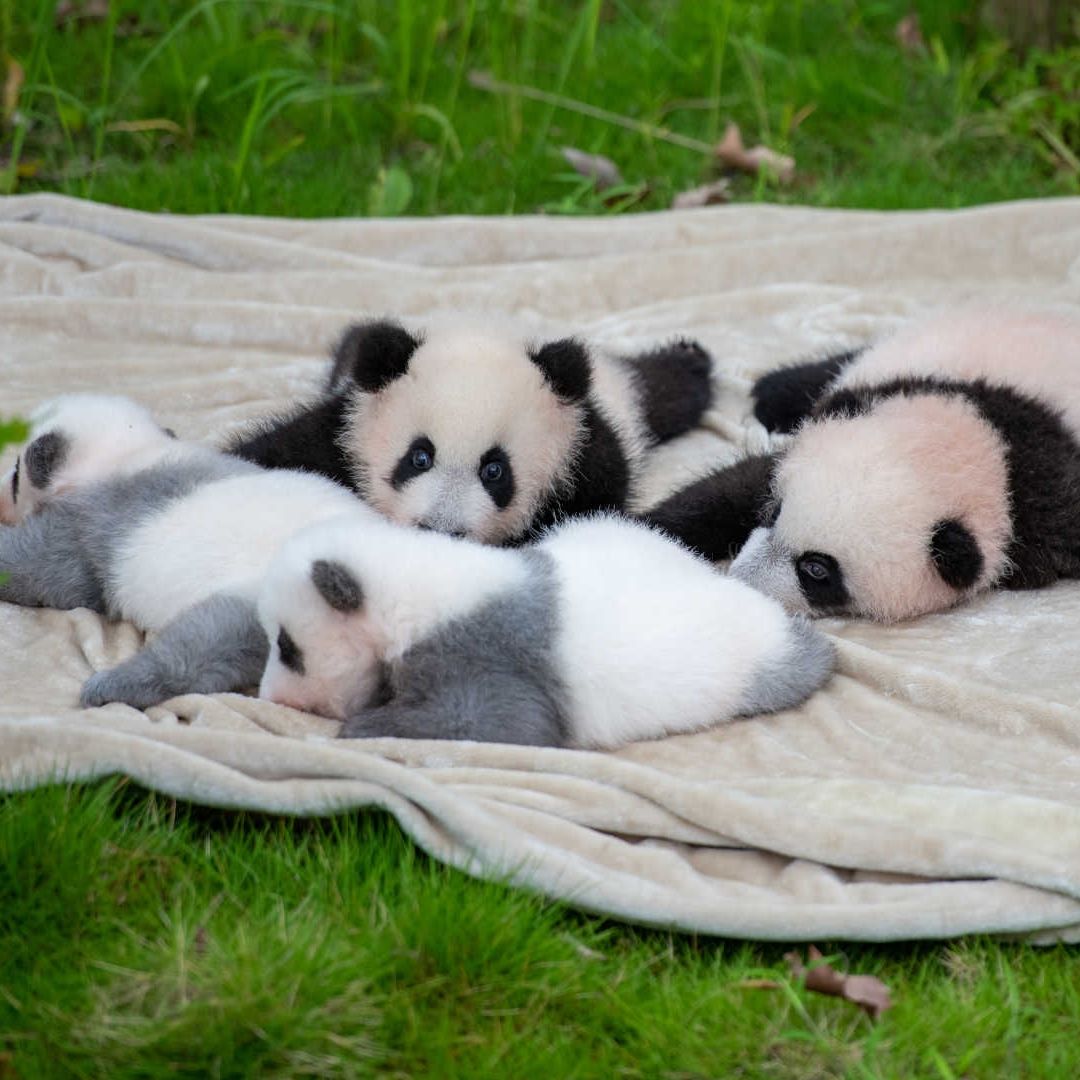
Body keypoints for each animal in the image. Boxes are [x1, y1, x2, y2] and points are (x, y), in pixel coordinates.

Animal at [0, 394, 370, 708]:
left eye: (16, 473)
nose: (1, 497)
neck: (132, 453)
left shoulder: (90, 521)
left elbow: (41, 568)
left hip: (274, 601)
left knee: (199, 648)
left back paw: (114, 685)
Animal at [227, 316, 714, 544]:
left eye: (494, 471)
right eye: (419, 457)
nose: (442, 529)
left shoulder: (585, 463)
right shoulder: (342, 429)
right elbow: (276, 454)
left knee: (659, 390)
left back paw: (689, 363)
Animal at [255, 512, 835, 749]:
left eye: (287, 647)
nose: (268, 698)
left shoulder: (487, 654)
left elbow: (501, 723)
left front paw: (368, 725)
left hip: (748, 655)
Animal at [645, 306, 1080, 622]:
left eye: (817, 571)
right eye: (774, 513)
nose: (741, 579)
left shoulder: (1047, 500)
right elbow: (732, 489)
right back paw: (771, 392)